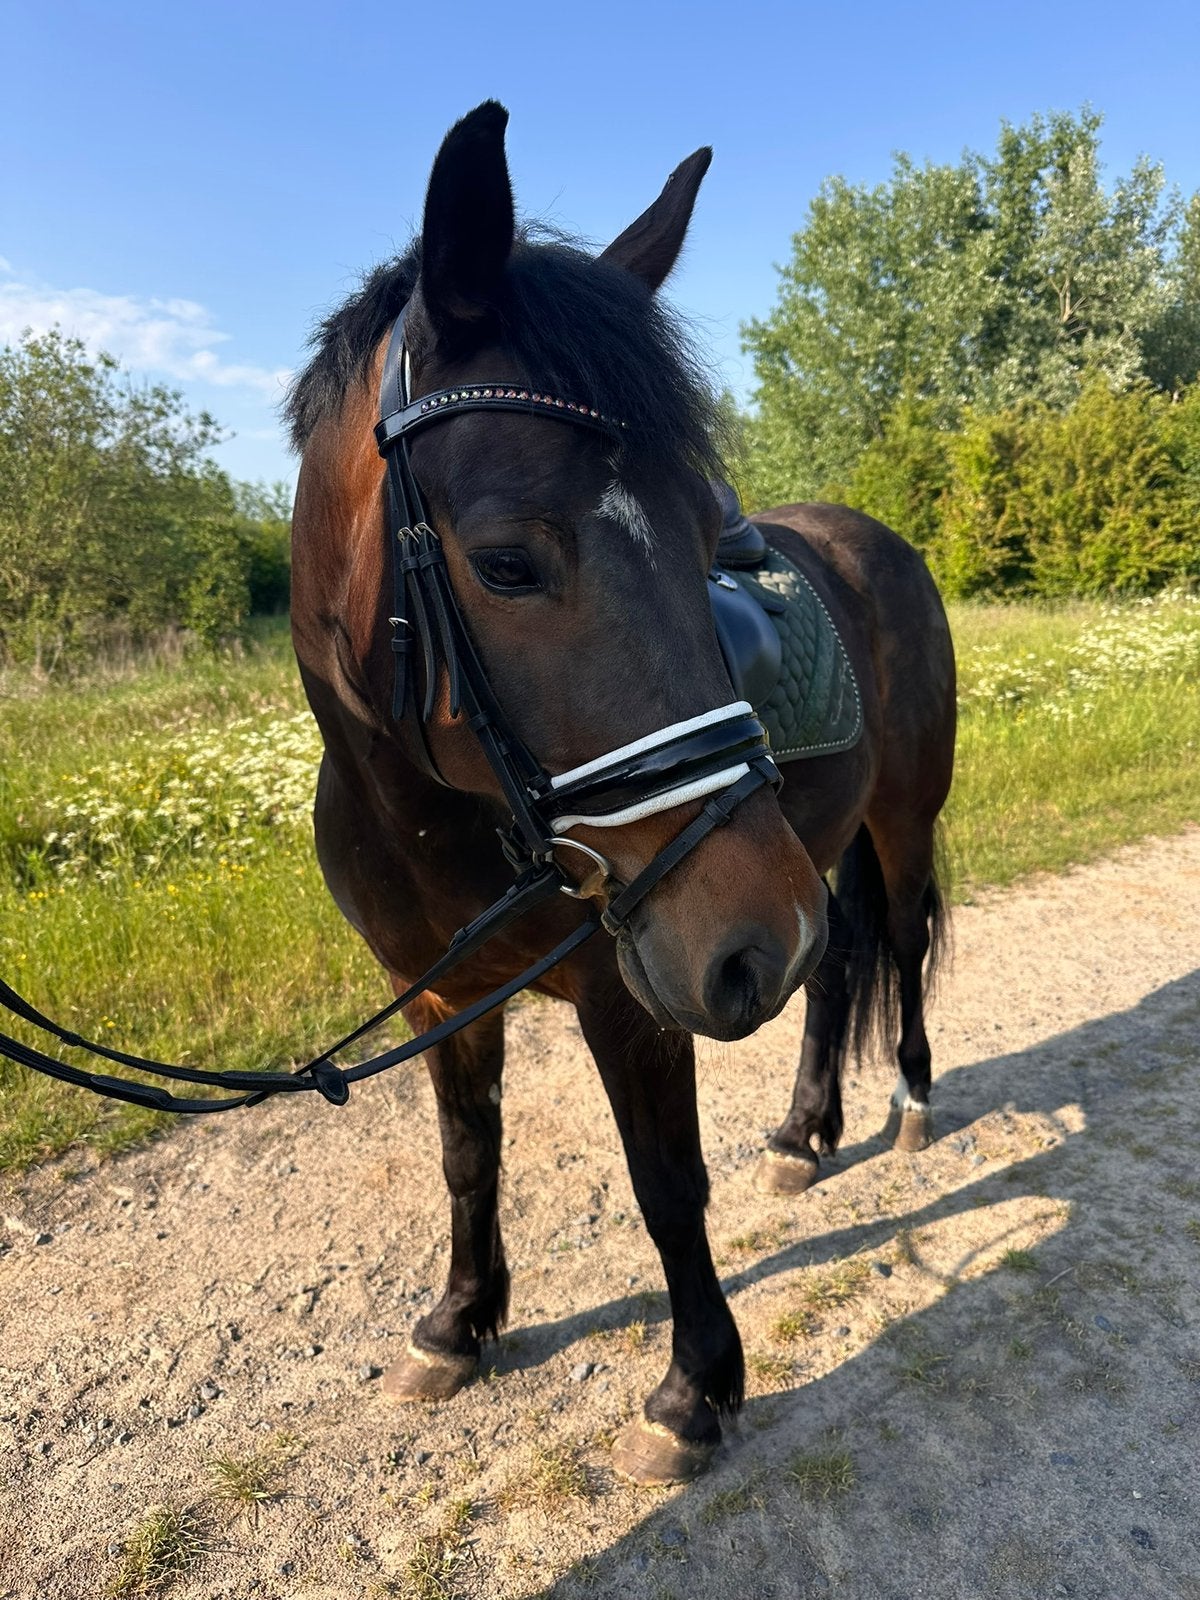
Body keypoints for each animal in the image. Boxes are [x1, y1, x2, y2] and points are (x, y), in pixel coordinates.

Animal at [286, 101, 955, 1486]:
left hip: (893, 824)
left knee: (901, 945)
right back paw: (804, 1133)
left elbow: (664, 1181)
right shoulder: (436, 991)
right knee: (838, 965)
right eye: (505, 563)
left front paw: (696, 1387)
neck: (435, 820)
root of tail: (877, 537)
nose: (752, 934)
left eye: (708, 538)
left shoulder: (633, 992)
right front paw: (459, 1322)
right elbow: (466, 1154)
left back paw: (909, 1102)